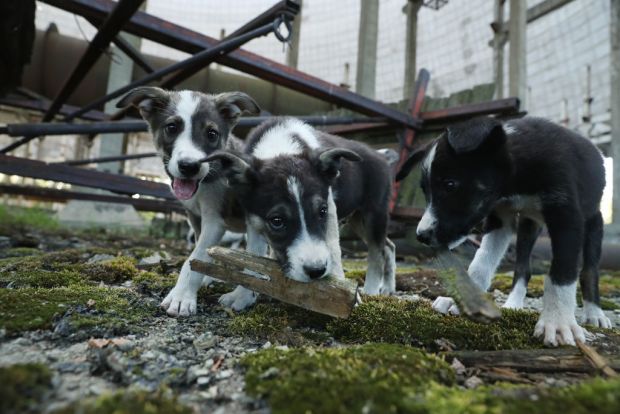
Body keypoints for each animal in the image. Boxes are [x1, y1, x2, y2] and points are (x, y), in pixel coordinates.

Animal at [117, 86, 262, 314]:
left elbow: (194, 258)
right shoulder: (195, 218)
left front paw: (181, 297)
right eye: (171, 128)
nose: (189, 166)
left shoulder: (214, 220)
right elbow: (202, 254)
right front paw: (202, 279)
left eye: (212, 134)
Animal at [398, 115, 612, 346]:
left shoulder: (567, 217)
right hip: (528, 225)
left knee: (589, 270)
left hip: (593, 222)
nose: (421, 236)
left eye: (450, 184)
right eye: (425, 190)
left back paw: (594, 313)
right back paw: (514, 304)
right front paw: (468, 299)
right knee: (522, 268)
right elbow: (481, 263)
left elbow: (562, 273)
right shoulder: (500, 218)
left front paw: (557, 322)